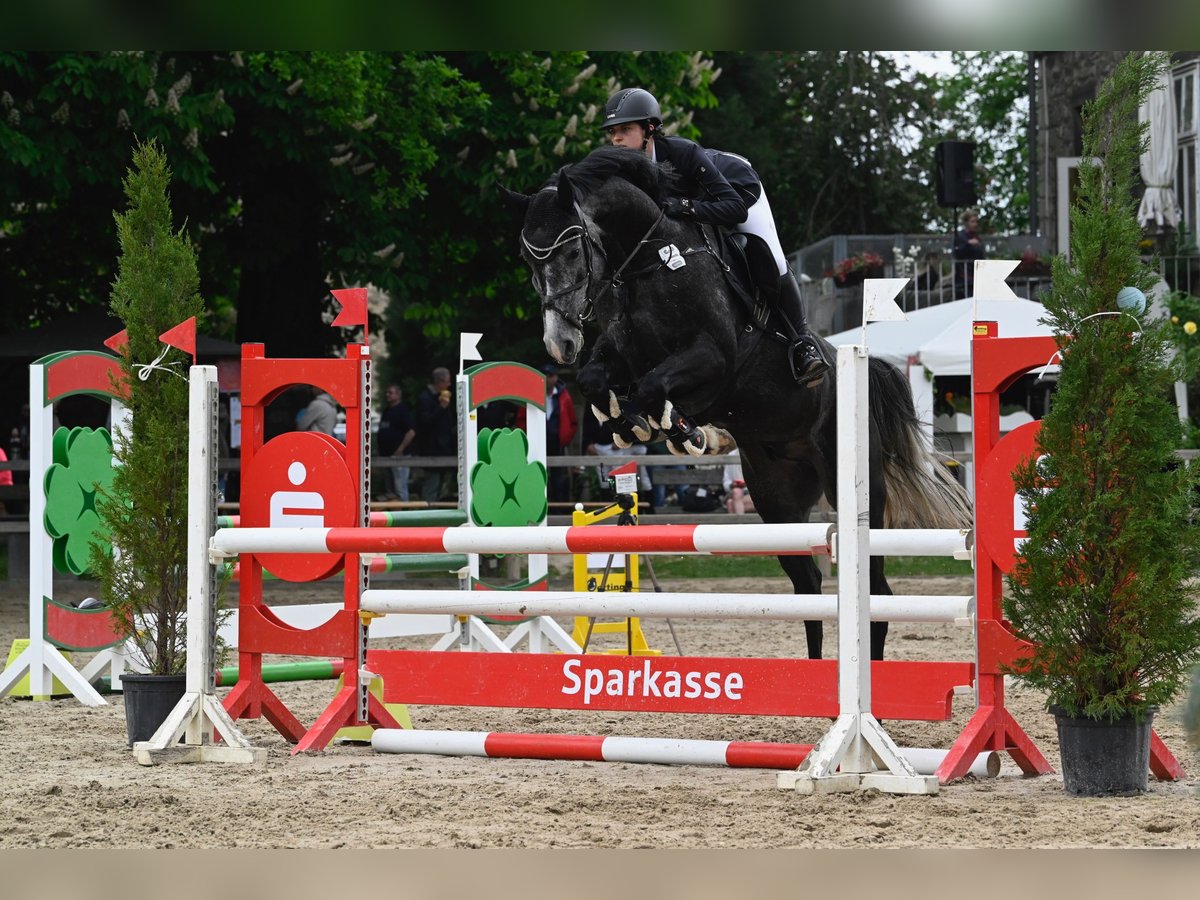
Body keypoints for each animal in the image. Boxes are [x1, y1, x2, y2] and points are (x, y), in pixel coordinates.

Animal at [501, 144, 969, 657]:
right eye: (527, 259)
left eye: (570, 249)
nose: (559, 343)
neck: (649, 260)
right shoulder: (623, 354)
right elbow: (595, 379)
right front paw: (634, 424)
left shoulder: (712, 359)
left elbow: (654, 387)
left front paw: (673, 428)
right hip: (776, 497)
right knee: (808, 587)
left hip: (855, 483)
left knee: (877, 592)